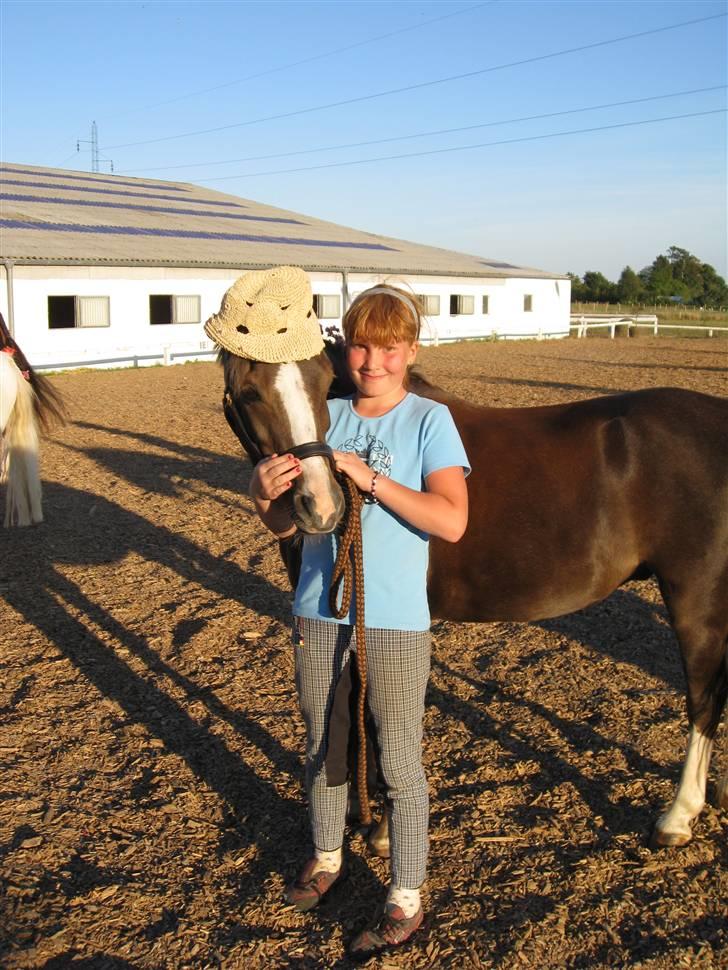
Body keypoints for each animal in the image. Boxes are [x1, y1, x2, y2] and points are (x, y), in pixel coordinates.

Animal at [218, 340, 728, 848]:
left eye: (323, 382)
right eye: (249, 392)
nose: (321, 506)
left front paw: (382, 830)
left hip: (697, 603)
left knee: (704, 701)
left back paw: (677, 816)